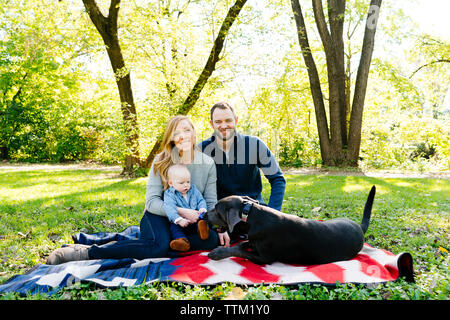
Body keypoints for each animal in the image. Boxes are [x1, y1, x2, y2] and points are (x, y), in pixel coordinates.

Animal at [206, 186, 374, 264]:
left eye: (216, 209)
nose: (204, 215)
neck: (251, 215)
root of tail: (359, 228)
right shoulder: (253, 241)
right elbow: (242, 245)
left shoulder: (264, 258)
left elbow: (239, 251)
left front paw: (218, 252)